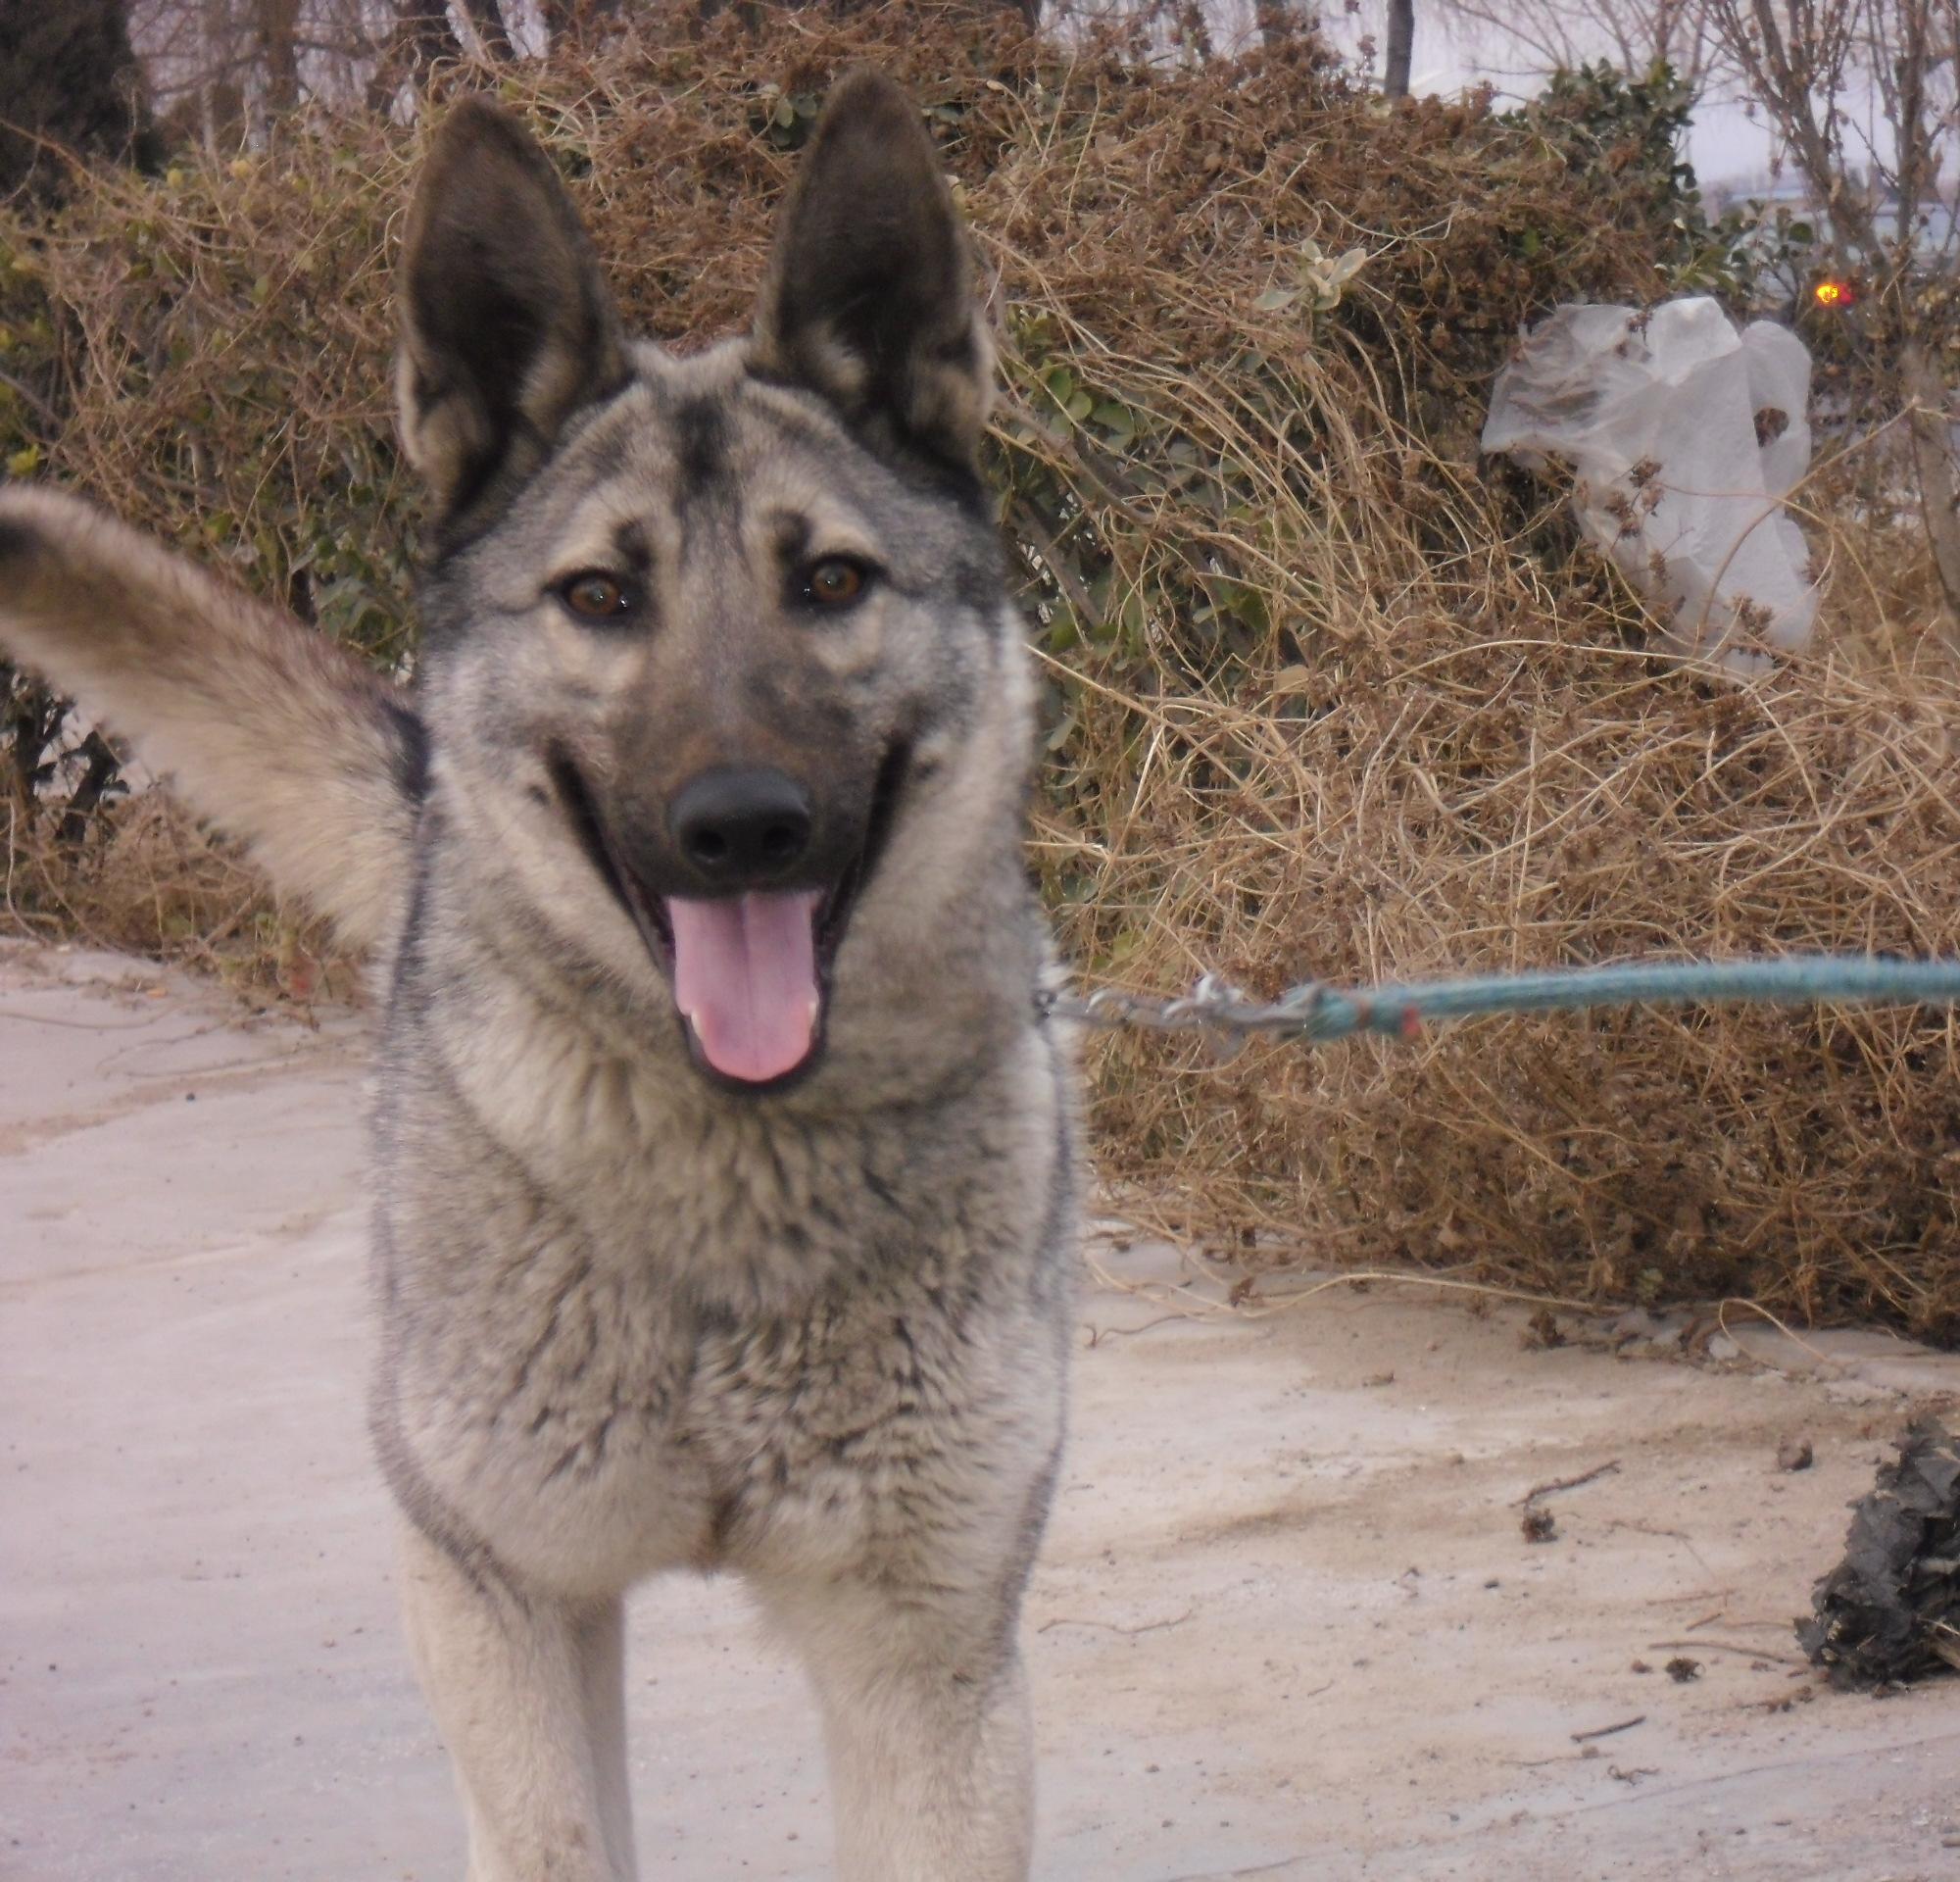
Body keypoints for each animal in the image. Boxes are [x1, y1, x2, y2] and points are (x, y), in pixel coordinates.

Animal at [0, 70, 1074, 1882]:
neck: (725, 1185)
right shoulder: (494, 1588)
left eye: (832, 582)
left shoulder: (928, 1659)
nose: (742, 829)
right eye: (600, 596)